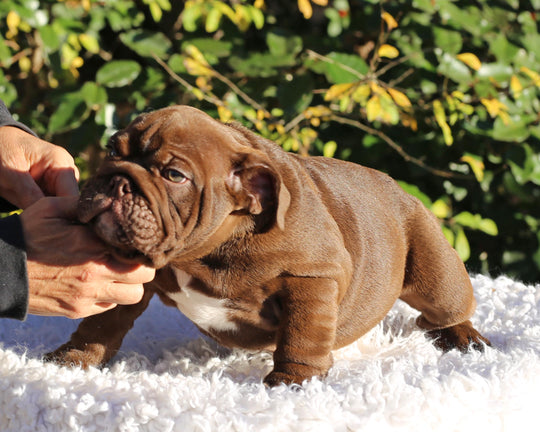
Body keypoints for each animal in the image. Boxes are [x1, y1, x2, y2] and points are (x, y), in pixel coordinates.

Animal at [46, 104, 492, 384]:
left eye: (174, 175)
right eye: (110, 150)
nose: (117, 180)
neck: (200, 253)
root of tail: (401, 190)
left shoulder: (312, 279)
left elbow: (303, 334)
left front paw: (294, 381)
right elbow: (103, 322)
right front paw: (75, 358)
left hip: (435, 269)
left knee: (446, 307)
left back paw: (462, 336)